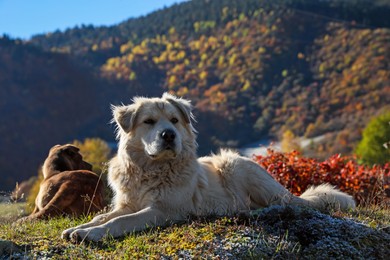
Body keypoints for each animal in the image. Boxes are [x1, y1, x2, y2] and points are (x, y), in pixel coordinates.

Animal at [61, 93, 356, 242]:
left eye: (174, 120)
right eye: (149, 121)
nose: (169, 135)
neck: (152, 169)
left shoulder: (165, 210)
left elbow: (121, 221)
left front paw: (91, 234)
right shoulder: (127, 203)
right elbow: (104, 216)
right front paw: (80, 229)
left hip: (236, 165)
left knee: (283, 205)